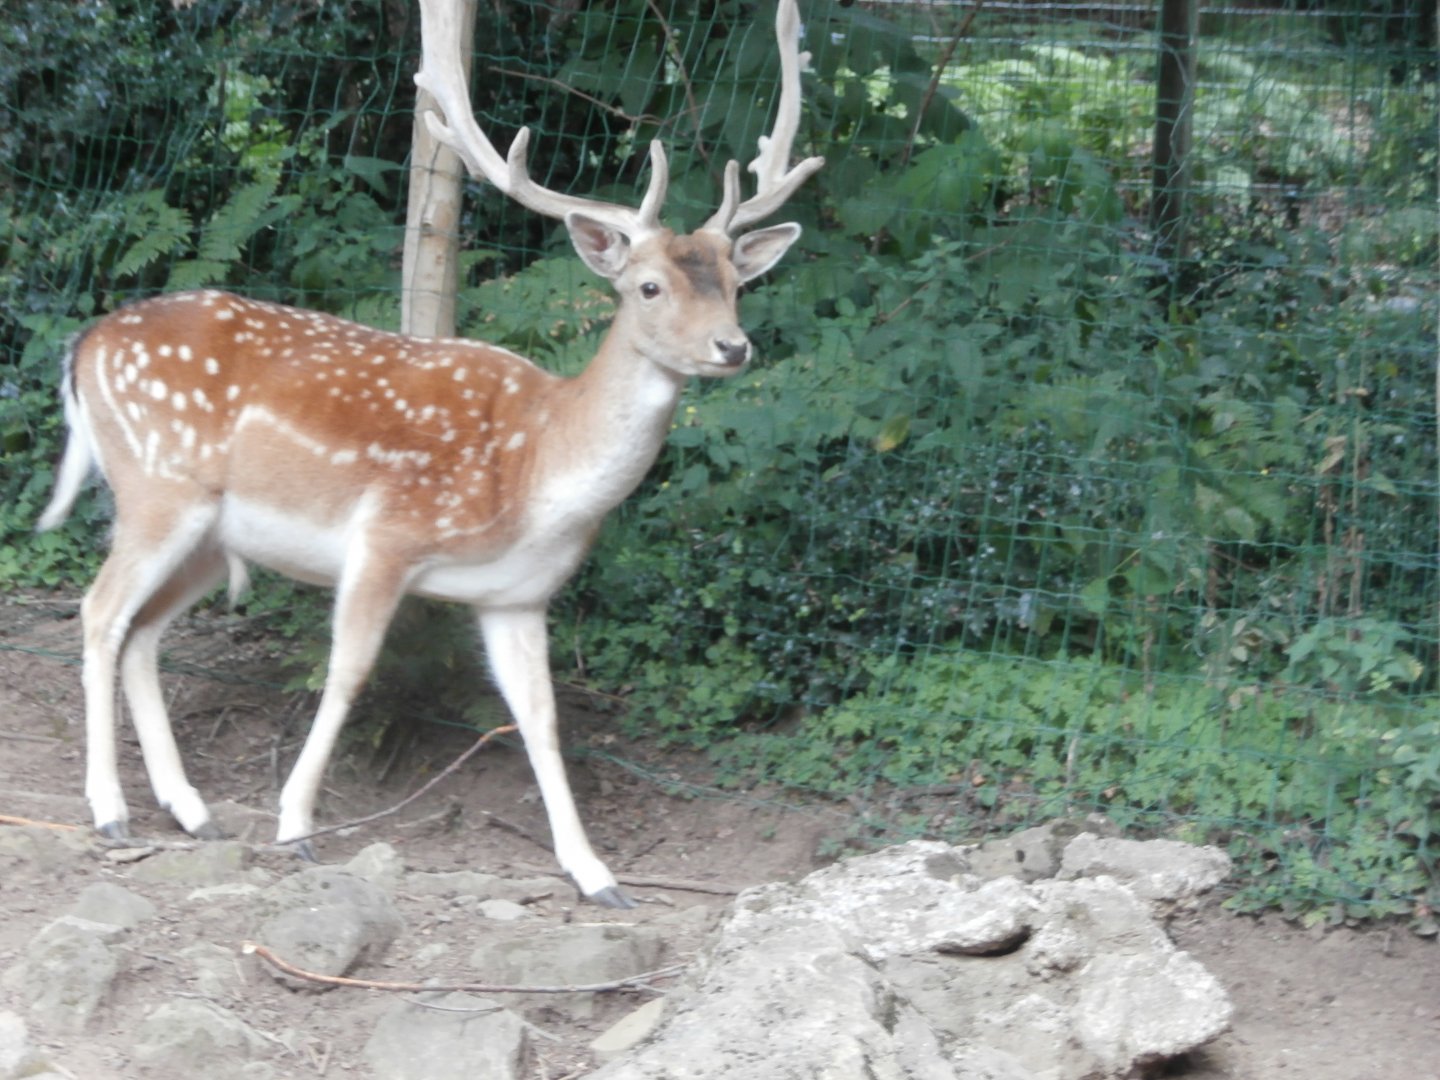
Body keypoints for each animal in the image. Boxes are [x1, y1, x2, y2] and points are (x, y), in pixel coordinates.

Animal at [36, 0, 822, 908]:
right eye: (649, 286)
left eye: (735, 282)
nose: (734, 347)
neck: (538, 468)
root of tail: (85, 343)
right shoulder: (387, 536)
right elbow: (348, 672)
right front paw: (296, 825)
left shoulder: (518, 596)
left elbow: (540, 716)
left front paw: (595, 874)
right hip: (157, 489)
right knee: (99, 613)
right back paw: (109, 811)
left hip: (206, 534)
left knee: (141, 632)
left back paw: (190, 810)